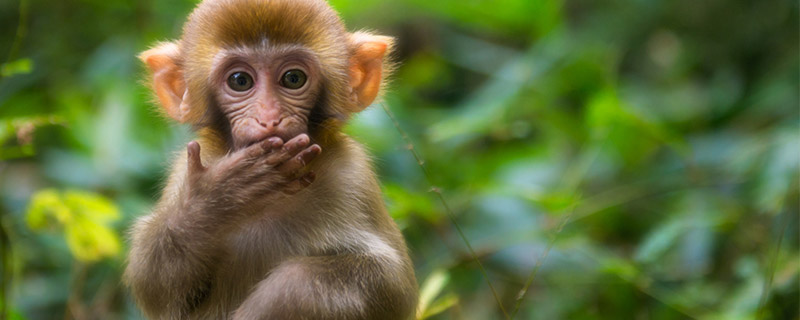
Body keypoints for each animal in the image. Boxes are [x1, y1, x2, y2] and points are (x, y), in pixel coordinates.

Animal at [125, 0, 418, 320]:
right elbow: (153, 284)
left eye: (293, 78)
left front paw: (279, 296)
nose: (269, 118)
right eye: (240, 81)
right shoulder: (186, 169)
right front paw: (218, 198)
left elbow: (392, 283)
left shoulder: (352, 174)